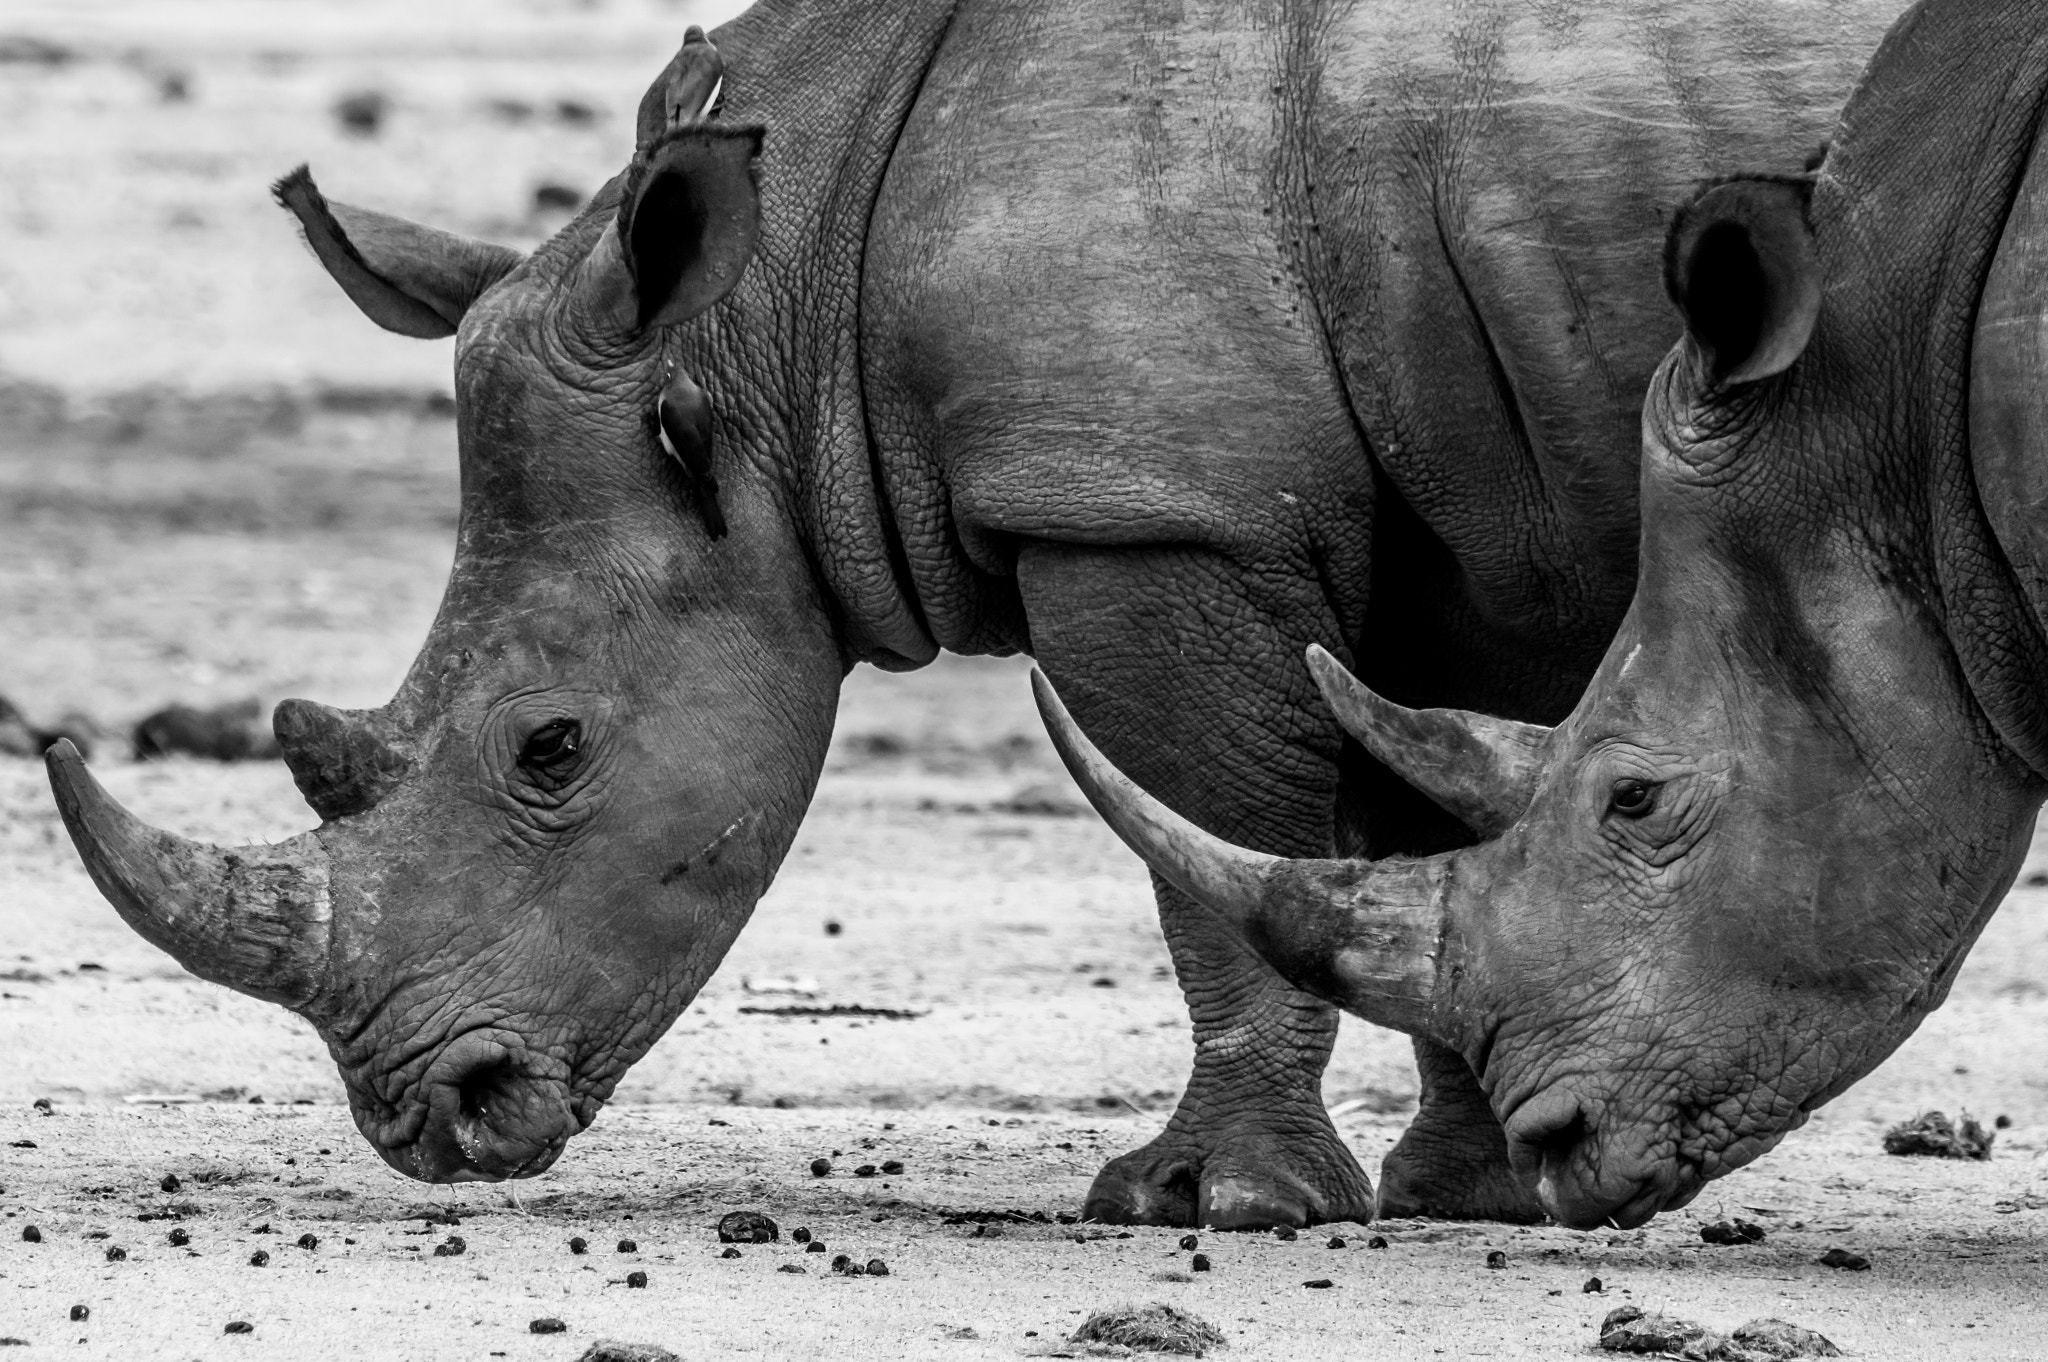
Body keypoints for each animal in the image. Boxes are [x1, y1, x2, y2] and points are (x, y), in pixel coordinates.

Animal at [45, 0, 1899, 1226]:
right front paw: (1471, 1186)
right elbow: (1404, 823)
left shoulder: (1146, 508)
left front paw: (1203, 1203)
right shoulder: (1359, 522)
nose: (428, 1115)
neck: (777, 315)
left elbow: (1214, 854)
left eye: (551, 751)